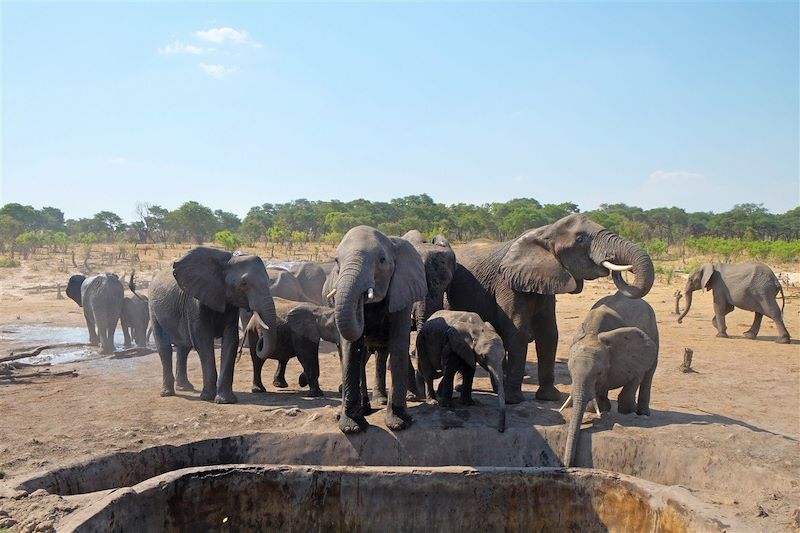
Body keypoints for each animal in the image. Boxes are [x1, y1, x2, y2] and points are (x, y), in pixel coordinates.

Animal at [148, 247, 276, 402]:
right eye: (244, 284)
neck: (227, 262)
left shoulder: (230, 303)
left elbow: (230, 340)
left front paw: (225, 401)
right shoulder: (195, 301)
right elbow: (203, 341)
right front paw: (207, 397)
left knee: (184, 347)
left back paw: (185, 387)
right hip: (153, 308)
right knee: (165, 347)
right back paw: (167, 393)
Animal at [322, 224, 428, 432]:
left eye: (382, 260)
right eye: (336, 261)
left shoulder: (402, 292)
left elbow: (398, 343)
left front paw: (398, 423)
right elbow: (351, 348)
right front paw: (352, 427)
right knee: (358, 357)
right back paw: (358, 410)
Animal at [446, 212, 652, 404]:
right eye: (580, 239)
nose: (616, 263)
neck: (545, 232)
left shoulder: (546, 282)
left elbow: (549, 333)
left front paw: (550, 397)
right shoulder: (507, 283)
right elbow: (518, 332)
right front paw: (514, 400)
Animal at [560, 290, 660, 466]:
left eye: (599, 372)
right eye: (570, 373)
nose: (567, 464)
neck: (592, 334)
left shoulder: (633, 353)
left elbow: (636, 375)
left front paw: (628, 410)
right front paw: (601, 409)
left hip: (654, 330)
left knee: (649, 371)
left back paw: (642, 412)